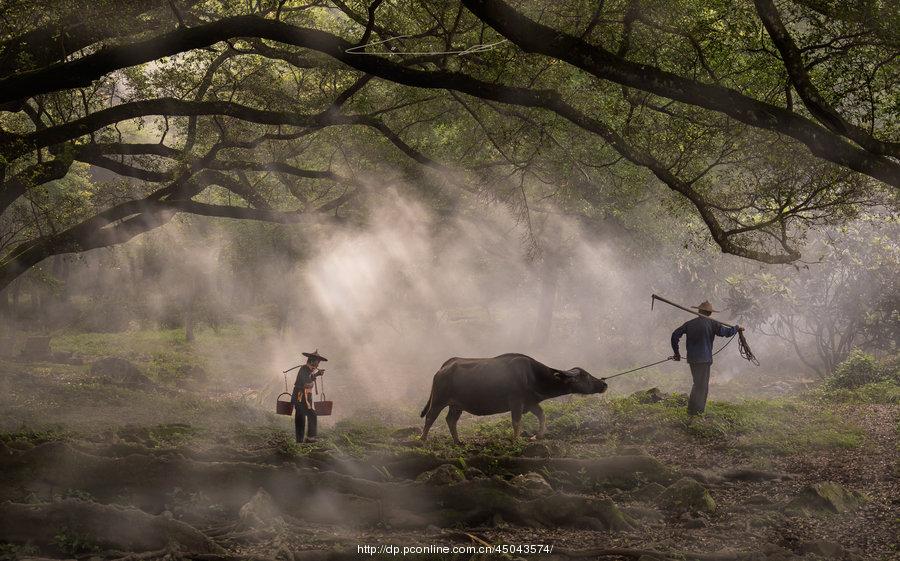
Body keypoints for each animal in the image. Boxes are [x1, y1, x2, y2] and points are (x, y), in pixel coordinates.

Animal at [420, 354, 604, 442]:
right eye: (586, 377)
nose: (603, 384)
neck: (532, 375)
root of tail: (444, 367)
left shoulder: (530, 403)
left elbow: (542, 415)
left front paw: (537, 436)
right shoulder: (516, 402)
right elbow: (516, 422)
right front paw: (516, 439)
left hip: (457, 405)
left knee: (451, 420)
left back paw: (458, 441)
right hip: (439, 400)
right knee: (430, 417)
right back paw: (423, 439)